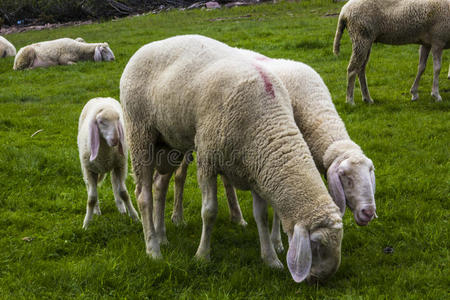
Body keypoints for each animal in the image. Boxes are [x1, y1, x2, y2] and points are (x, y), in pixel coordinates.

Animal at [78, 97, 139, 229]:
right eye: (101, 122)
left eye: (118, 119)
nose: (116, 140)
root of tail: (101, 98)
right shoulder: (90, 170)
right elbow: (91, 198)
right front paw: (86, 223)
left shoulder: (120, 165)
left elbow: (123, 193)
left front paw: (135, 216)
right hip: (88, 170)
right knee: (90, 188)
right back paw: (96, 210)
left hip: (115, 165)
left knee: (114, 183)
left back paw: (121, 207)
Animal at [119, 35, 342, 284]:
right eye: (317, 243)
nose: (321, 279)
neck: (266, 121)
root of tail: (144, 48)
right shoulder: (207, 158)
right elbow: (209, 211)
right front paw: (202, 256)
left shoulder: (256, 168)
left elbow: (261, 216)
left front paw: (270, 259)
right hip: (140, 134)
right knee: (143, 196)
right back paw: (153, 249)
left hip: (169, 145)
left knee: (159, 186)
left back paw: (162, 236)